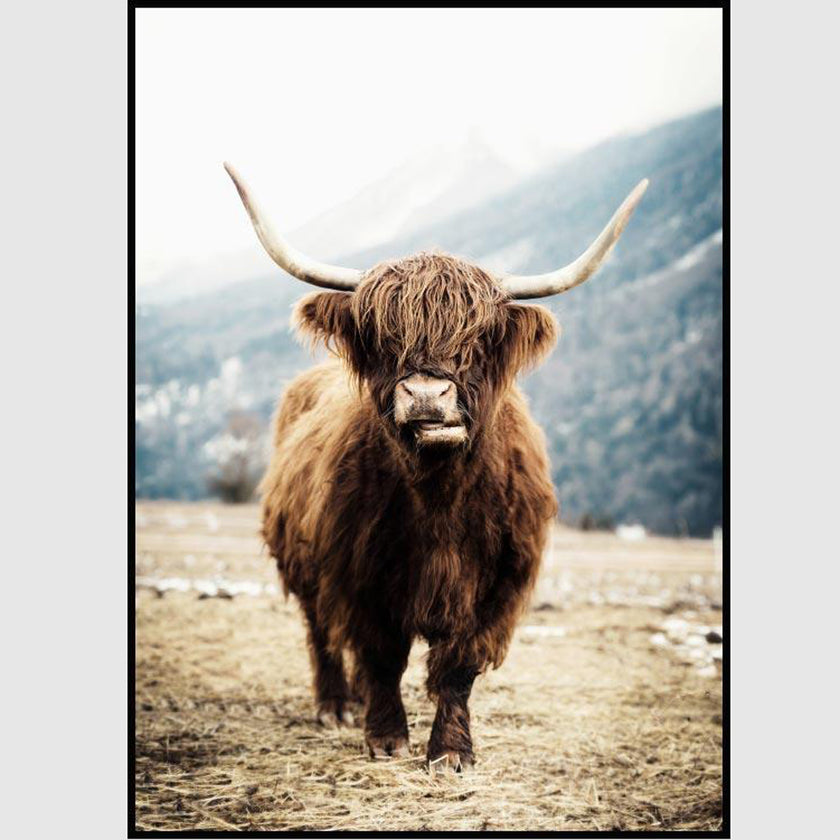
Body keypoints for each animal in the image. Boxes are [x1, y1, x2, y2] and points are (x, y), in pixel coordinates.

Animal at [224, 163, 647, 771]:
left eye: (478, 338)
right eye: (382, 338)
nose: (426, 395)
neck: (440, 497)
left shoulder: (497, 587)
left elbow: (458, 668)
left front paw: (450, 751)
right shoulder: (359, 574)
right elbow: (380, 654)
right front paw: (385, 738)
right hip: (303, 563)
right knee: (321, 632)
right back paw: (336, 705)